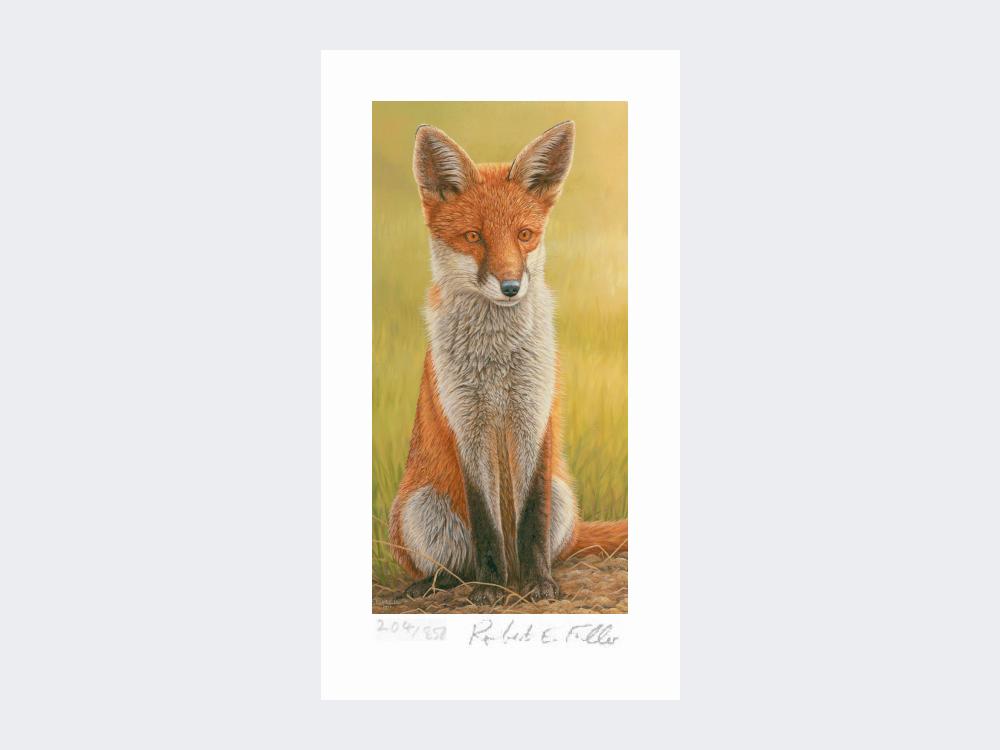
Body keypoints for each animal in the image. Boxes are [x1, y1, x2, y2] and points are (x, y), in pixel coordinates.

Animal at [387, 121, 627, 604]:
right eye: (474, 237)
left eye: (524, 235)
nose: (511, 287)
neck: (496, 362)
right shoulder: (466, 424)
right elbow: (486, 524)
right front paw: (489, 588)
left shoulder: (534, 415)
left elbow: (530, 518)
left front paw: (538, 585)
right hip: (421, 510)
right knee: (452, 566)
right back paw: (441, 584)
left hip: (562, 497)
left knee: (553, 543)